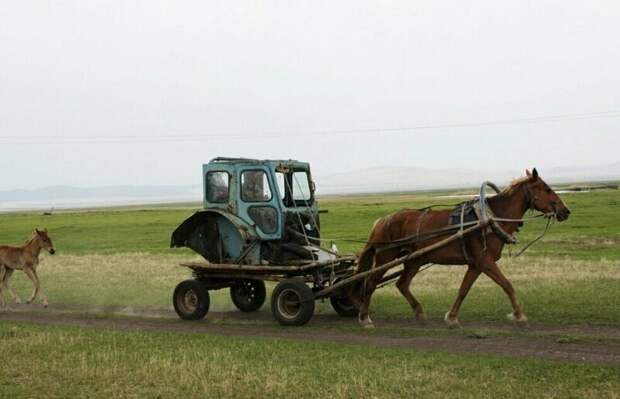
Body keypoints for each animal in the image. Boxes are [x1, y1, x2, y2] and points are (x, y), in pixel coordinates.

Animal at [354, 169, 572, 328]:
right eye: (546, 189)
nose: (565, 211)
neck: (490, 218)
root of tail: (382, 220)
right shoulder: (485, 261)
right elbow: (507, 285)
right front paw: (520, 316)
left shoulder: (476, 264)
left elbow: (463, 290)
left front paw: (451, 317)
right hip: (386, 256)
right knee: (370, 283)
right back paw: (365, 318)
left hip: (415, 259)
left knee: (402, 284)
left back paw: (420, 313)